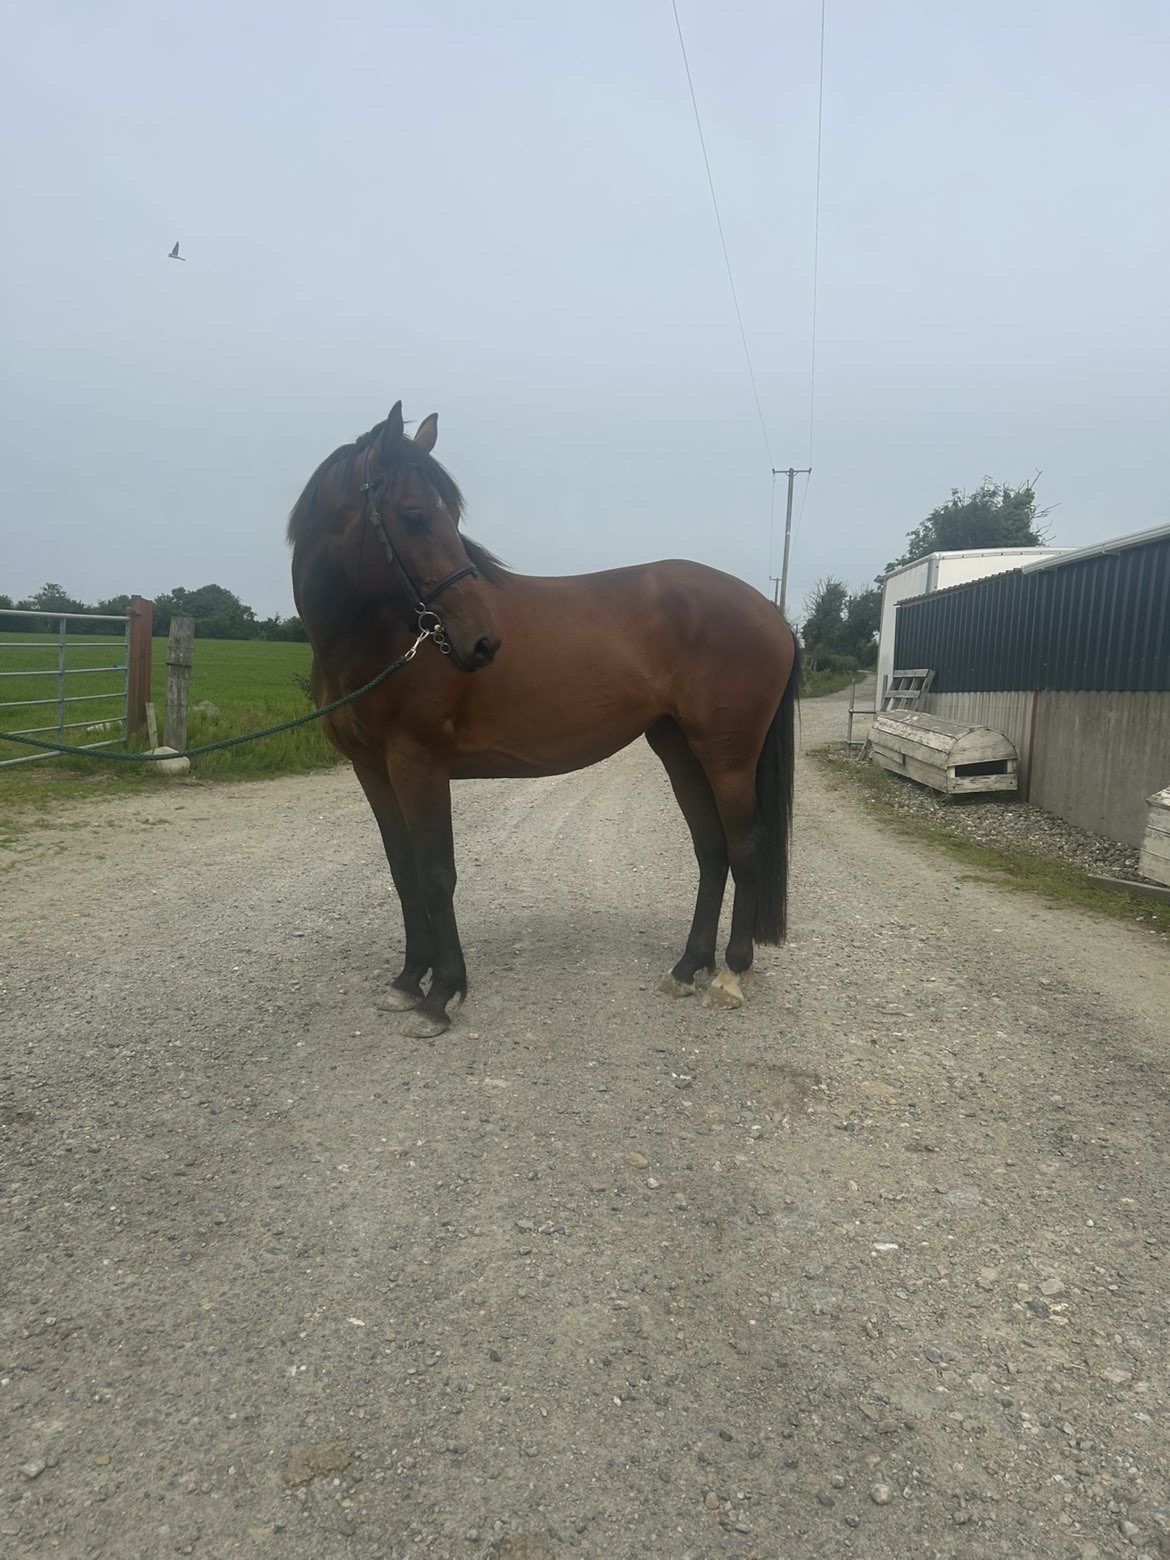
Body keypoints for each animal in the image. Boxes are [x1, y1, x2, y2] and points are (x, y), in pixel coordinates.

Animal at [288, 402, 800, 1039]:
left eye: (447, 516)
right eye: (413, 516)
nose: (483, 642)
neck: (381, 641)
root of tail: (772, 615)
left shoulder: (418, 764)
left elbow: (436, 872)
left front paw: (441, 994)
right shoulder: (373, 771)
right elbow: (403, 871)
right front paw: (408, 982)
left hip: (727, 756)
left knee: (745, 847)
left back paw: (730, 975)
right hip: (680, 749)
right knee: (712, 849)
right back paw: (688, 968)